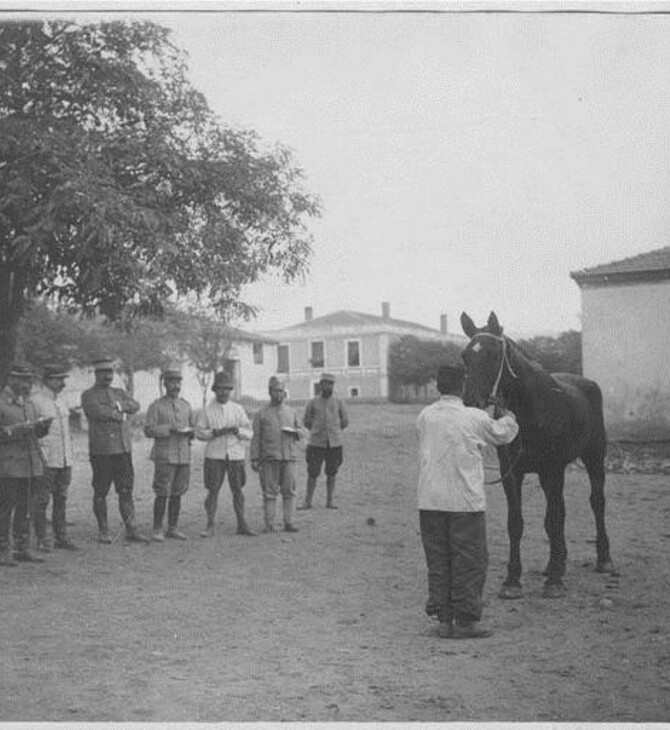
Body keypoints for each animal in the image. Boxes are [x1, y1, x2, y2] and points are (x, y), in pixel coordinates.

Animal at [460, 310, 616, 596]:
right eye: (465, 355)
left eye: (493, 354)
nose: (471, 402)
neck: (530, 410)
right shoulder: (512, 474)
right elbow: (516, 522)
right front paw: (512, 580)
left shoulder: (551, 469)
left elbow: (553, 520)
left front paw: (553, 582)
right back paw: (558, 563)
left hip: (594, 459)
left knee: (597, 502)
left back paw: (603, 560)